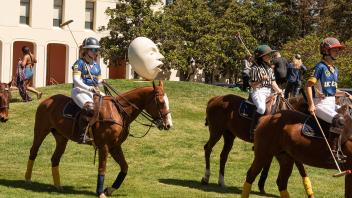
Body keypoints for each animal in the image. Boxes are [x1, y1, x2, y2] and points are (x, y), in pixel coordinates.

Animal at [24, 81, 173, 197]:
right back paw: (28, 179)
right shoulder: (104, 146)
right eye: (161, 102)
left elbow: (125, 167)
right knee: (33, 152)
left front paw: (109, 190)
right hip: (40, 131)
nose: (168, 125)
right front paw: (100, 192)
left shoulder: (115, 146)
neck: (119, 112)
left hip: (62, 138)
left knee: (55, 158)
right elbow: (102, 168)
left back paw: (58, 186)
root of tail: (45, 100)